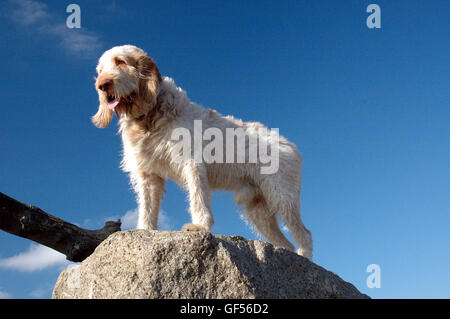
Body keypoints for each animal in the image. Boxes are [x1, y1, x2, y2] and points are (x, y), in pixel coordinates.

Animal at [89, 44, 312, 260]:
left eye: (121, 61)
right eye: (99, 70)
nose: (102, 85)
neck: (149, 117)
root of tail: (290, 145)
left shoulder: (191, 162)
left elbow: (197, 196)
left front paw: (200, 226)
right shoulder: (148, 175)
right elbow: (147, 208)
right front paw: (144, 230)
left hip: (282, 196)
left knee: (304, 234)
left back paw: (307, 260)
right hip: (258, 209)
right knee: (286, 244)